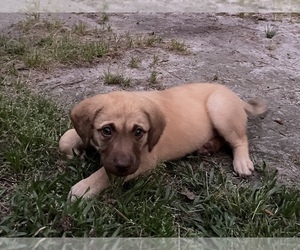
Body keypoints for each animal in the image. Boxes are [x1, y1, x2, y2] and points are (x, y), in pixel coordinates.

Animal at [58, 83, 268, 199]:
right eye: (107, 131)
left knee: (239, 140)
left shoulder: (144, 162)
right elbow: (65, 139)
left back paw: (242, 162)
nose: (124, 165)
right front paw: (75, 153)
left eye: (138, 132)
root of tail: (236, 97)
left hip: (219, 108)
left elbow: (105, 173)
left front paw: (83, 188)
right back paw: (207, 146)